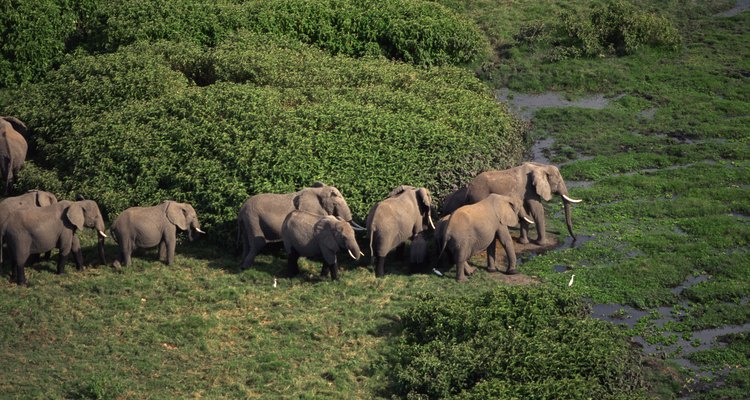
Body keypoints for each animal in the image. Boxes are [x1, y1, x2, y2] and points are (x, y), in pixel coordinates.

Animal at [440, 162, 580, 244]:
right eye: (559, 182)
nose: (575, 239)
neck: (540, 167)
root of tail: (469, 187)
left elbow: (527, 210)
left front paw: (524, 242)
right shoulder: (529, 189)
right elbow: (537, 209)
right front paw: (541, 243)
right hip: (479, 194)